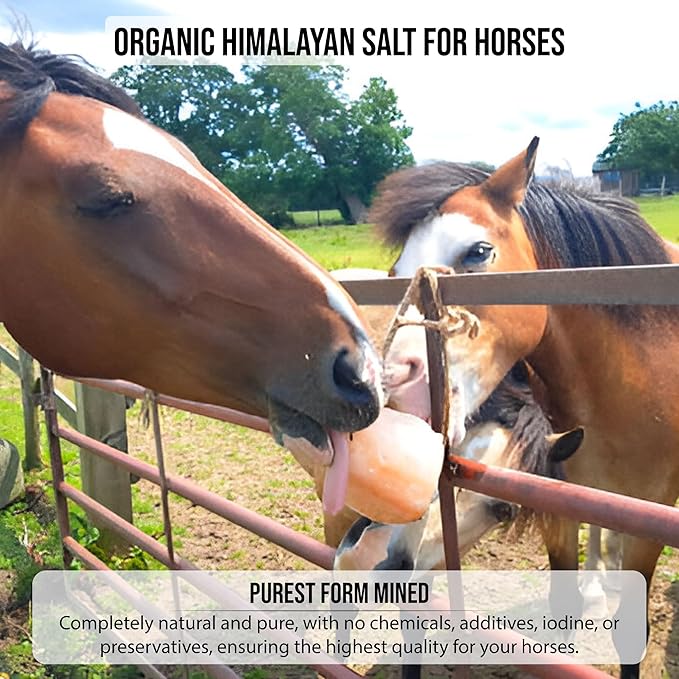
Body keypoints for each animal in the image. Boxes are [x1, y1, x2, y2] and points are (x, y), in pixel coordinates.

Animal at [372, 140, 679, 678]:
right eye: (396, 275)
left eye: (477, 252)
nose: (395, 384)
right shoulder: (558, 497)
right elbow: (564, 604)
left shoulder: (650, 525)